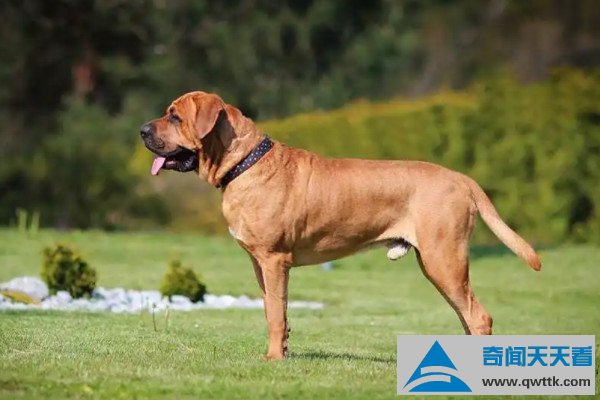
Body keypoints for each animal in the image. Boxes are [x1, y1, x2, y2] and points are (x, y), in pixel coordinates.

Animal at [140, 91, 541, 360]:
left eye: (174, 117)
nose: (142, 130)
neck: (244, 163)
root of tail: (462, 179)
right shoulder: (259, 264)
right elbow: (274, 309)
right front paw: (282, 352)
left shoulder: (274, 260)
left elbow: (275, 313)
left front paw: (274, 360)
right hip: (439, 265)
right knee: (466, 315)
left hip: (444, 260)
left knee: (479, 316)